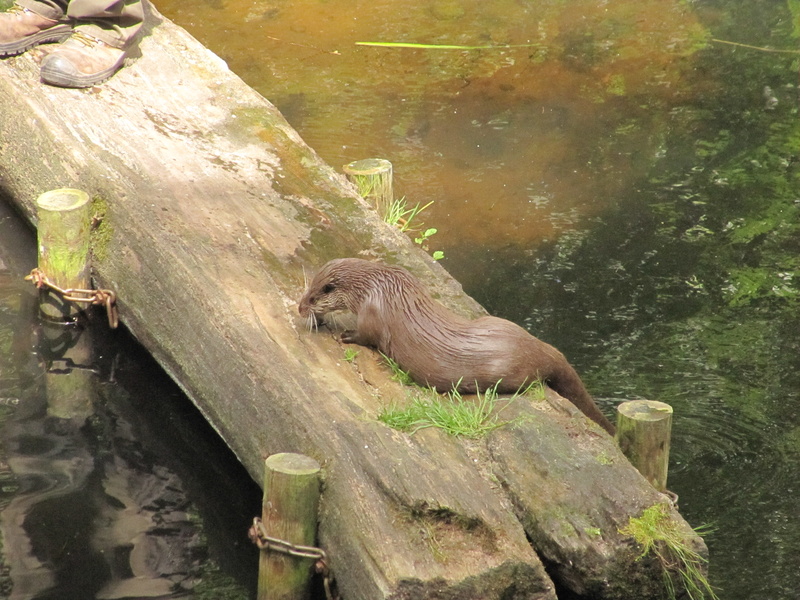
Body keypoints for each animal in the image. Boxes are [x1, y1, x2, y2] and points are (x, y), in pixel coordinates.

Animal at [296, 255, 616, 434]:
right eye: (306, 288)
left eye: (313, 297)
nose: (300, 308)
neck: (374, 287)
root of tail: (539, 347)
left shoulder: (372, 314)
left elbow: (365, 336)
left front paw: (343, 334)